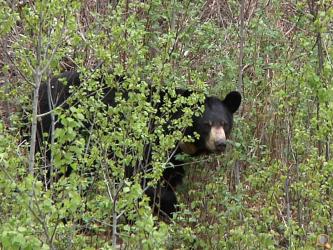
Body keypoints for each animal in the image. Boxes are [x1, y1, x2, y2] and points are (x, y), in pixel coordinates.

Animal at [35, 70, 240, 217]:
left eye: (225, 123)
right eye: (207, 124)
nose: (220, 143)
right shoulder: (147, 143)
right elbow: (143, 178)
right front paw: (171, 208)